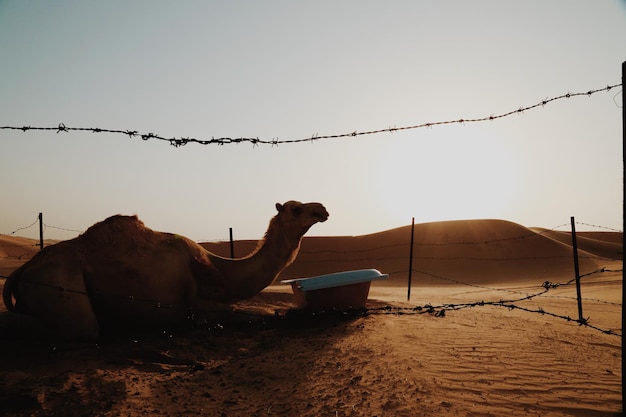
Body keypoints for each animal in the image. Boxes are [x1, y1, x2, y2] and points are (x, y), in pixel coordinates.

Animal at [2, 199, 330, 338]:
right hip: (59, 283)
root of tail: (24, 270)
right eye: (296, 209)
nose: (323, 209)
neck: (222, 270)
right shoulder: (201, 307)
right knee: (80, 326)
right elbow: (257, 315)